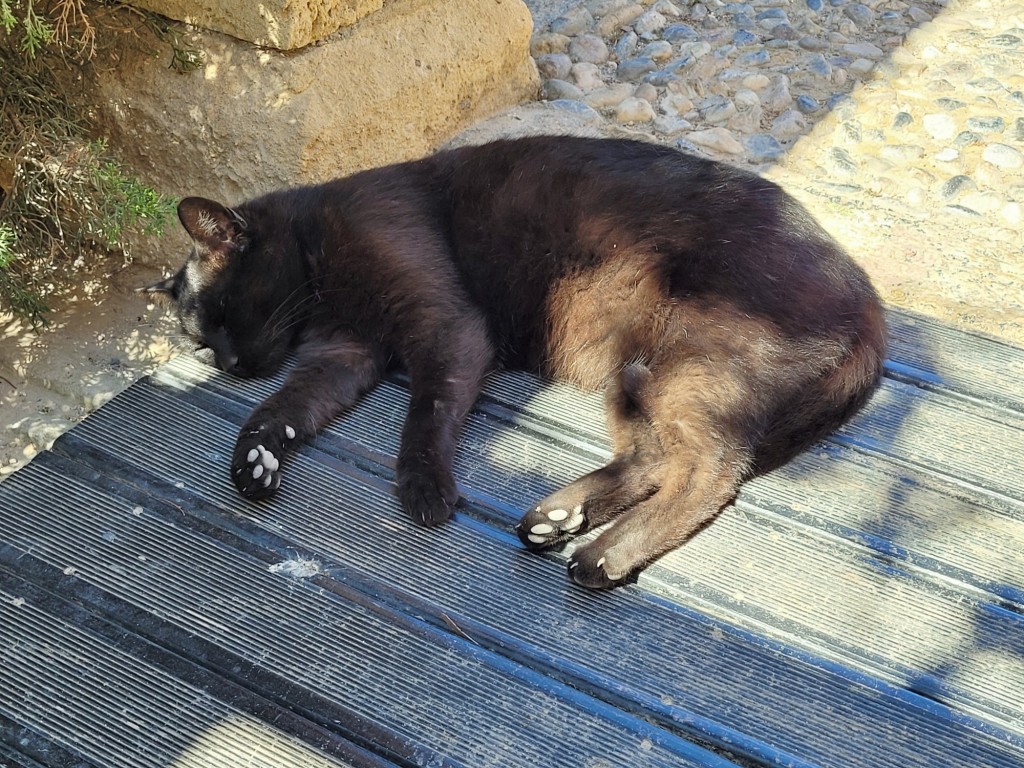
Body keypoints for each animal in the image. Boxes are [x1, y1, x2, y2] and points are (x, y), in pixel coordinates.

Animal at [146, 135, 888, 589]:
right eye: (203, 342)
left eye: (223, 314)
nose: (231, 364)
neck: (320, 263)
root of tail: (868, 300)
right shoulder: (344, 354)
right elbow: (281, 409)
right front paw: (254, 459)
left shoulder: (445, 326)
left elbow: (425, 412)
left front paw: (424, 489)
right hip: (633, 374)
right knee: (655, 458)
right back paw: (561, 519)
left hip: (688, 366)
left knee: (711, 472)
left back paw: (603, 555)